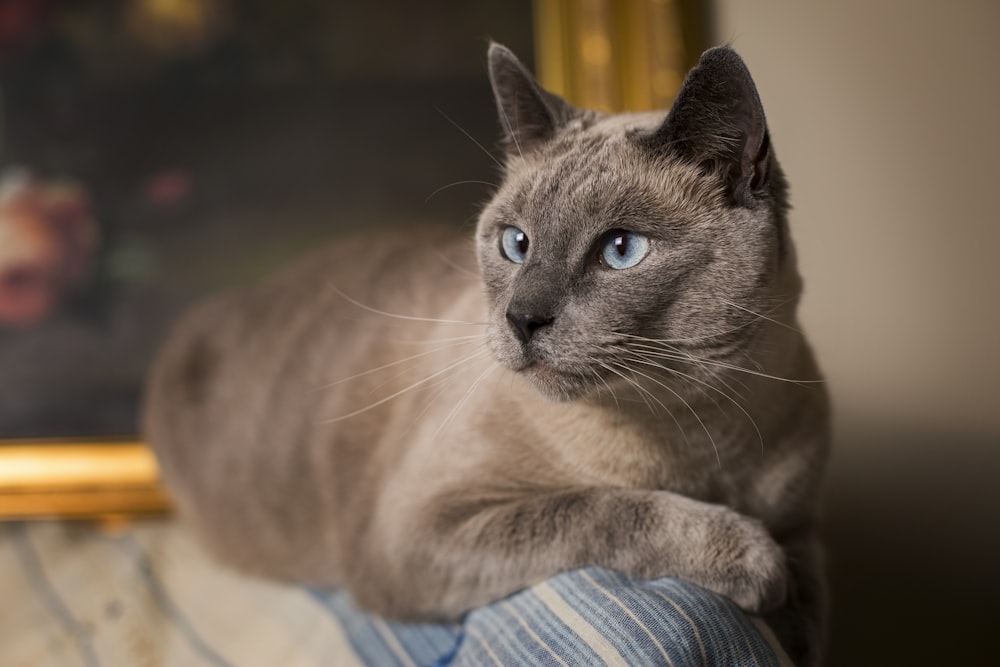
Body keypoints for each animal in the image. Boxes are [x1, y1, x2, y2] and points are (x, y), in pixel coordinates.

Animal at [141, 44, 828, 664]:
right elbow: (603, 509)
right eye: (515, 244)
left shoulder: (805, 527)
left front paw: (787, 613)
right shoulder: (421, 533)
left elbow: (807, 611)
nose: (521, 319)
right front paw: (750, 559)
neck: (700, 440)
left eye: (621, 250)